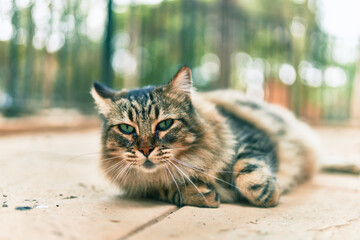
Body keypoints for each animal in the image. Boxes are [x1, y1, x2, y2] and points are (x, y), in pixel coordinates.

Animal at [91, 66, 320, 208]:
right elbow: (166, 189)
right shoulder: (146, 187)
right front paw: (201, 194)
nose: (145, 150)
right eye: (126, 129)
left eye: (164, 124)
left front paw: (267, 194)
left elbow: (247, 169)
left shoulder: (252, 137)